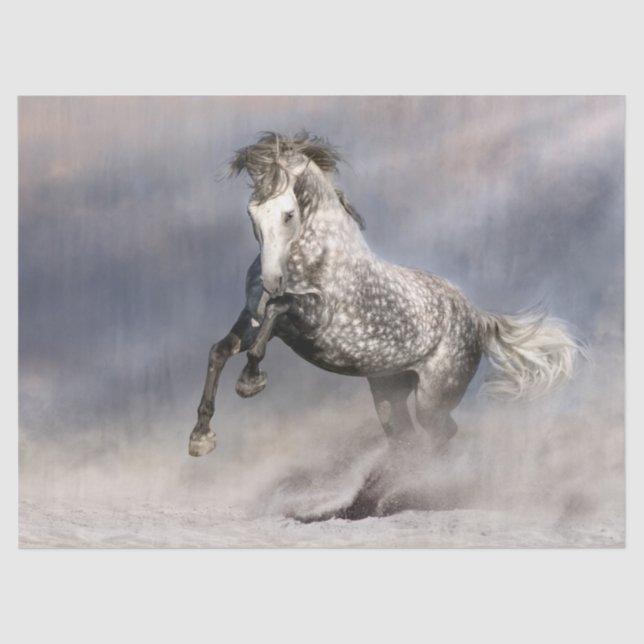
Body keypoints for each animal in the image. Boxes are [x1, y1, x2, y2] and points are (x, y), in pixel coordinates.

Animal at [189, 131, 583, 458]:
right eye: (252, 212)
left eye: (288, 214)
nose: (273, 280)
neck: (317, 252)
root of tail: (479, 319)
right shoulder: (255, 320)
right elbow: (220, 350)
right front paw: (201, 437)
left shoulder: (315, 316)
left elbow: (276, 311)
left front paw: (250, 381)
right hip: (389, 391)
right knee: (406, 438)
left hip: (432, 399)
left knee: (441, 434)